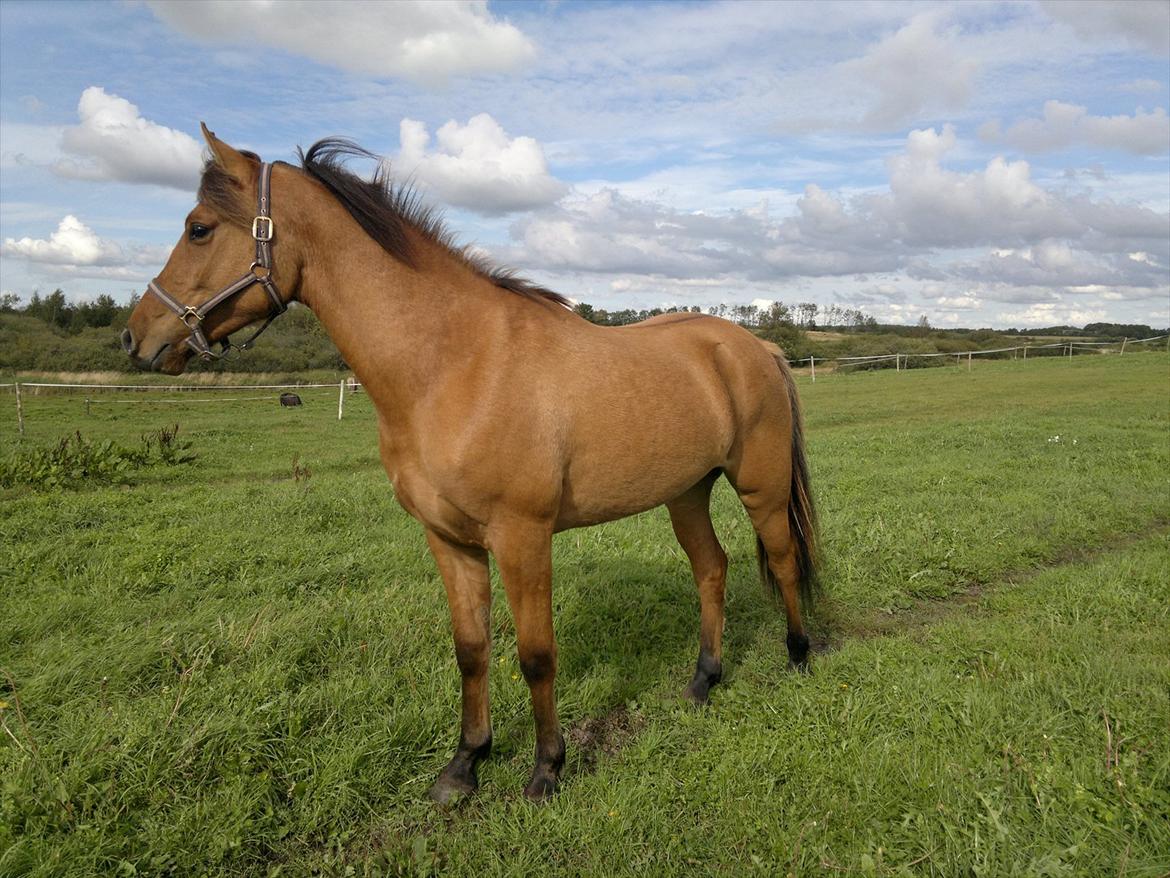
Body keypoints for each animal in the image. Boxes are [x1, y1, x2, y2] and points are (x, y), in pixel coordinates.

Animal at [122, 126, 819, 803]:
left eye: (199, 228)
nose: (137, 337)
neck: (454, 365)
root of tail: (755, 346)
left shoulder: (522, 537)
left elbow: (536, 654)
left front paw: (546, 770)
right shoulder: (449, 540)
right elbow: (472, 649)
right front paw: (464, 766)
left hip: (759, 487)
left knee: (783, 561)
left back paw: (799, 656)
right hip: (687, 492)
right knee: (712, 569)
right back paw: (703, 681)